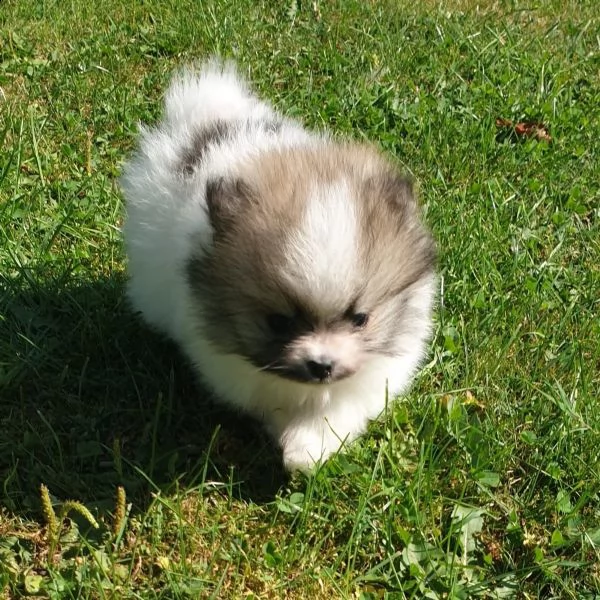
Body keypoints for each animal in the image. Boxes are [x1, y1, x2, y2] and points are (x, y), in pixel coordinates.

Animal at [119, 61, 436, 474]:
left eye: (361, 319)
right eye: (278, 322)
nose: (322, 365)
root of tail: (208, 119)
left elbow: (343, 403)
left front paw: (310, 445)